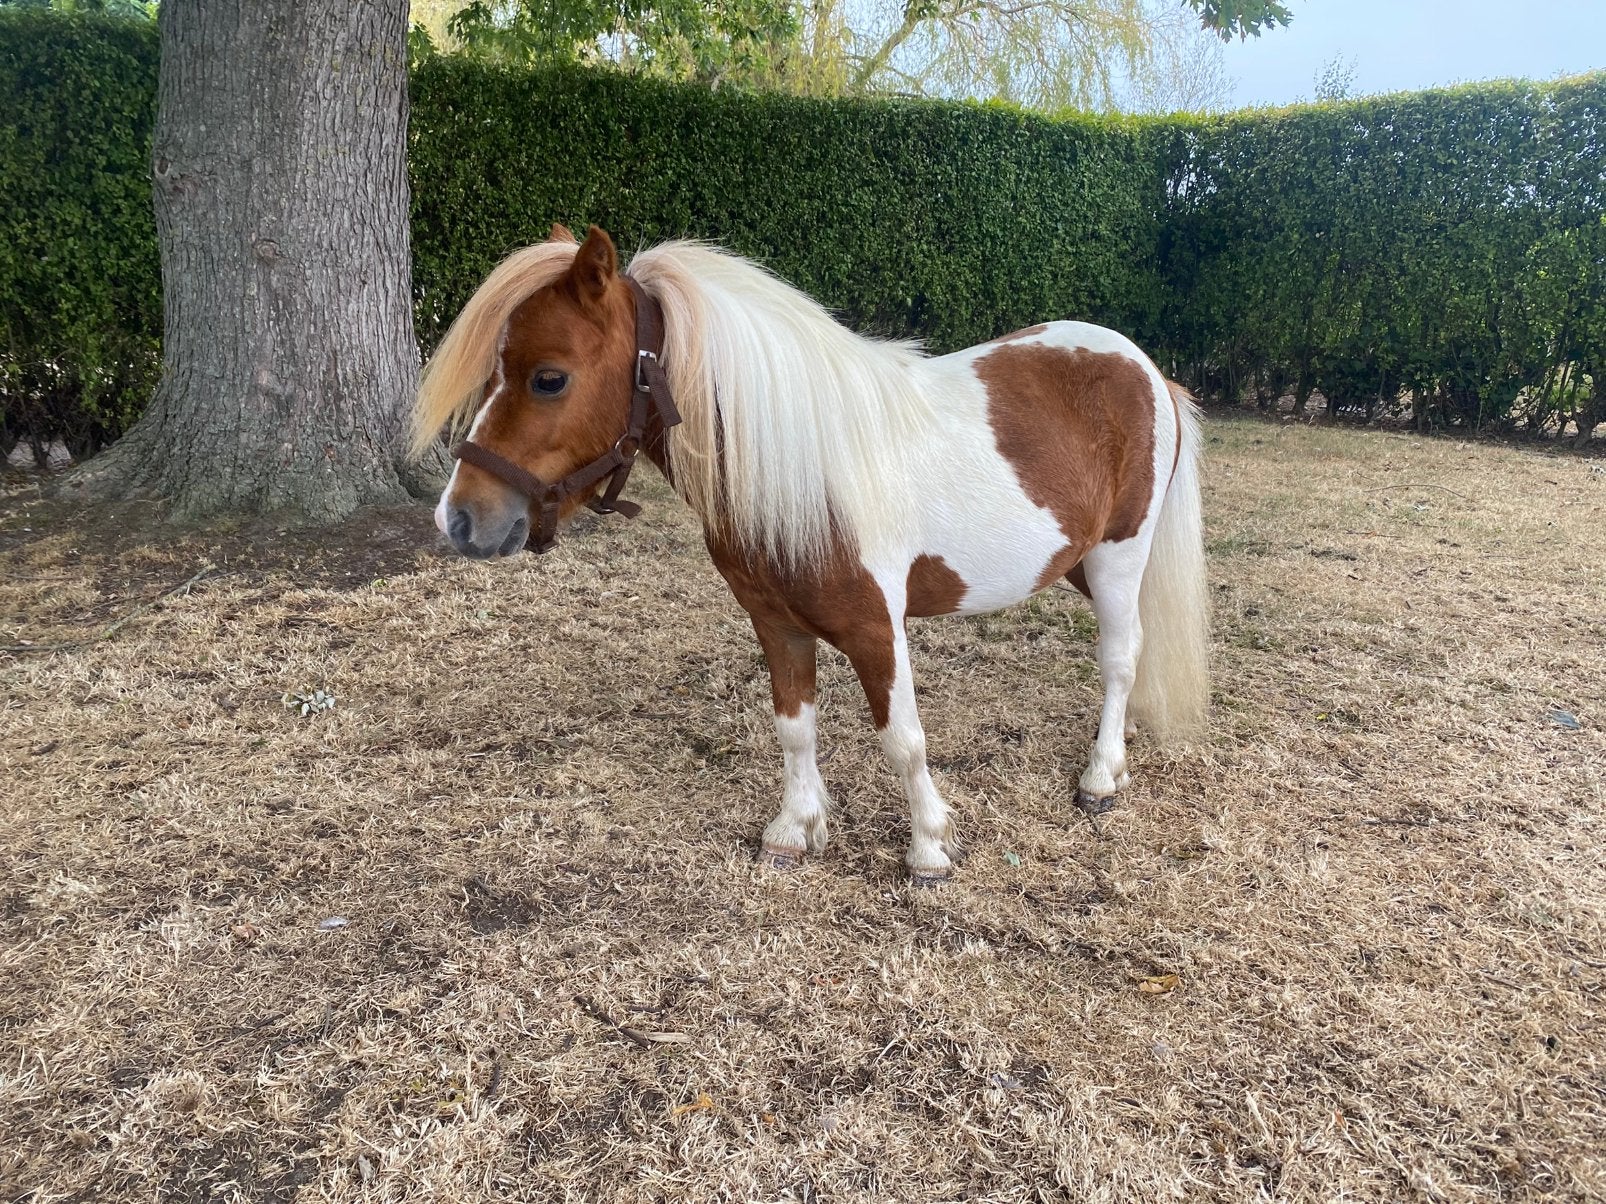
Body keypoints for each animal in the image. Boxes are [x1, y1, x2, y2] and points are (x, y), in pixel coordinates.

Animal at [412, 223, 1208, 883]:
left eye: (550, 377)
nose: (460, 519)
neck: (809, 470)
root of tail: (1145, 367)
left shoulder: (876, 631)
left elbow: (903, 739)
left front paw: (929, 847)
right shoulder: (776, 623)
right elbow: (794, 728)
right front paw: (795, 830)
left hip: (1118, 556)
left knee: (1119, 657)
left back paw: (1100, 776)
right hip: (1079, 562)